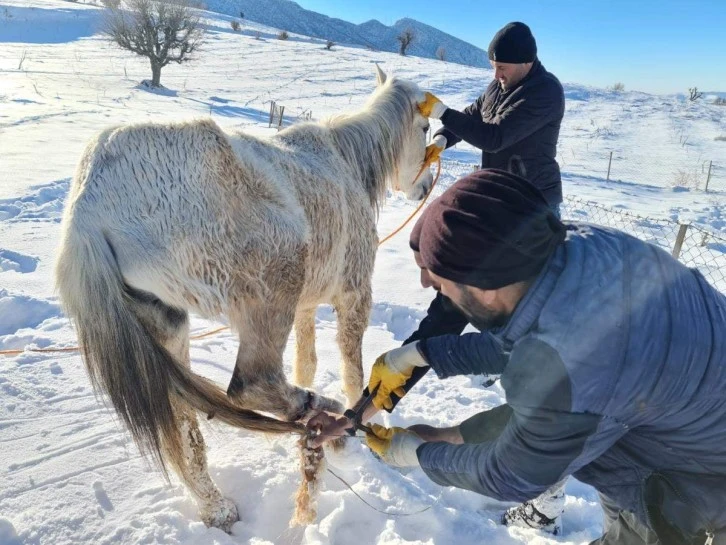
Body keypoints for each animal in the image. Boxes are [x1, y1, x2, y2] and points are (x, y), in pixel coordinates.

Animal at [55, 67, 432, 528]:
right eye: (426, 127)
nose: (425, 187)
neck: (344, 161)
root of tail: (87, 211)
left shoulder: (307, 305)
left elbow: (306, 362)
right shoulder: (353, 294)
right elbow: (353, 369)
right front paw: (353, 422)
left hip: (167, 321)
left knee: (184, 420)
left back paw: (217, 506)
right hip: (274, 287)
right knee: (250, 384)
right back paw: (318, 415)